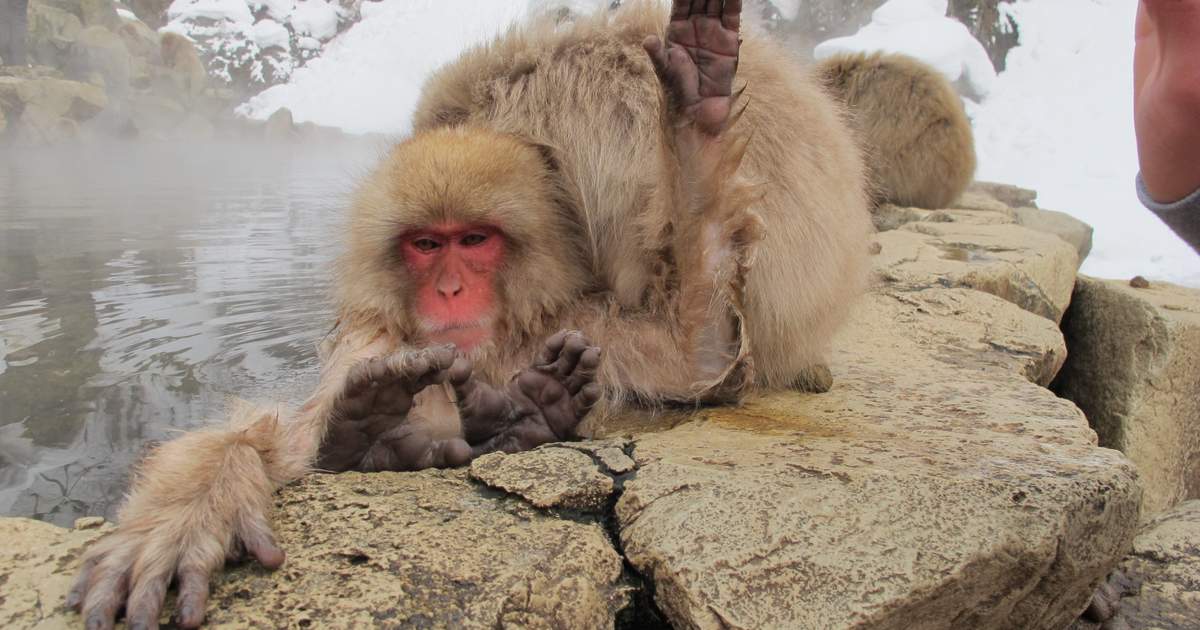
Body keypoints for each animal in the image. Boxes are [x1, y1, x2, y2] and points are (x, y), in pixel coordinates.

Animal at [68, 2, 872, 628]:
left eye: (473, 242)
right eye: (427, 244)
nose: (450, 289)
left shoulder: (585, 325)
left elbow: (698, 351)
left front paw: (697, 103)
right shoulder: (371, 343)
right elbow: (282, 444)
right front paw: (186, 513)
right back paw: (379, 434)